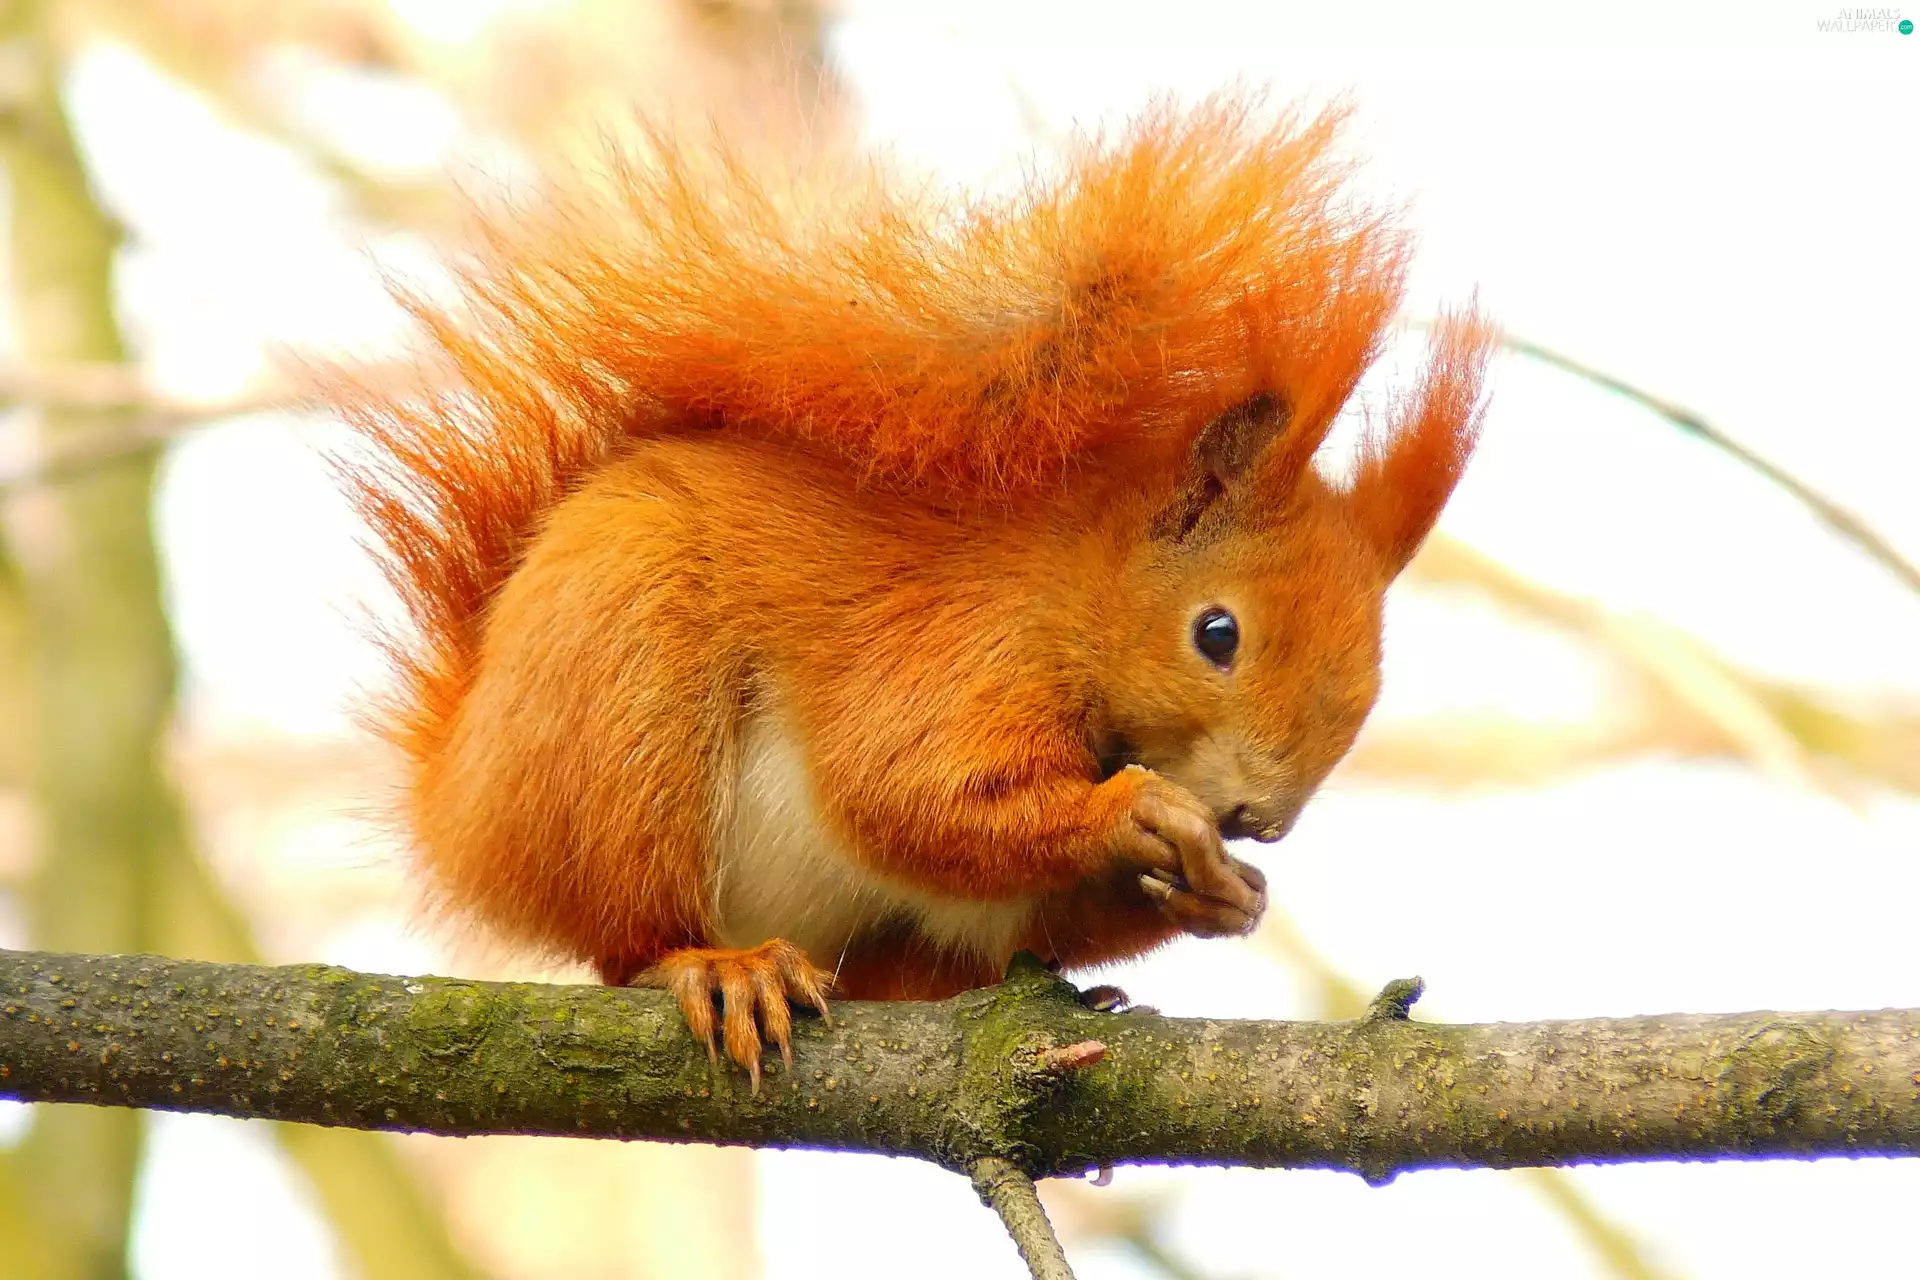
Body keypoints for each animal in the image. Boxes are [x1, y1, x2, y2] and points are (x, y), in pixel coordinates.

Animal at [328, 99, 1492, 1087]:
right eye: (1217, 633)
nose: (1259, 819)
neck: (1071, 587)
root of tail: (458, 803)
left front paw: (1226, 894)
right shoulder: (953, 650)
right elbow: (905, 794)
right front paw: (1134, 812)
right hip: (619, 715)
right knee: (627, 936)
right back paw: (716, 965)